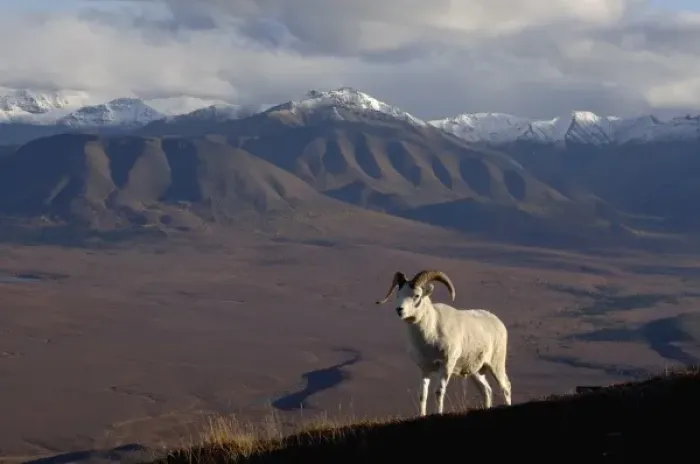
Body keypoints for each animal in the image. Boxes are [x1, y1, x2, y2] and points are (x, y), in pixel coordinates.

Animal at [375, 269, 512, 416]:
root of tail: (498, 322)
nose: (399, 310)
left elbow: (439, 392)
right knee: (486, 391)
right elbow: (423, 395)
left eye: (417, 295)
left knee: (506, 387)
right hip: (476, 372)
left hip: (496, 365)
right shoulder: (425, 370)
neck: (430, 335)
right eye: (398, 294)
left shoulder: (446, 367)